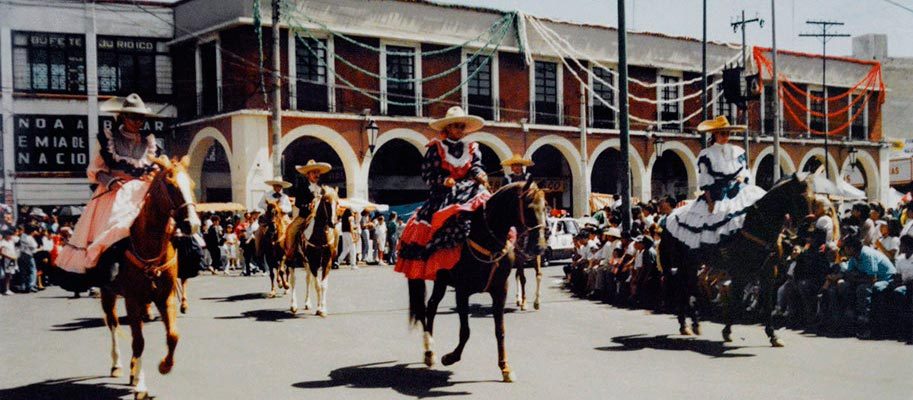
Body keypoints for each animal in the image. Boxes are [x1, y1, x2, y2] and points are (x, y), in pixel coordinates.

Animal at [100, 156, 200, 400]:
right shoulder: (132, 300)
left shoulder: (165, 296)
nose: (192, 224)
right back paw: (118, 365)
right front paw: (141, 386)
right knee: (113, 324)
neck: (150, 243)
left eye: (192, 185)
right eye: (171, 186)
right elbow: (138, 342)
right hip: (108, 293)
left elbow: (173, 335)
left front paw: (165, 365)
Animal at [288, 187, 338, 316]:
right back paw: (293, 306)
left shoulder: (326, 261)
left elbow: (323, 285)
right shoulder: (313, 262)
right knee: (293, 280)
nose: (332, 223)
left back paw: (307, 303)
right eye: (326, 202)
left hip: (306, 262)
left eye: (337, 202)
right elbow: (317, 285)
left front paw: (322, 309)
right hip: (292, 259)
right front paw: (319, 308)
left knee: (307, 278)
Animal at [404, 181, 540, 382]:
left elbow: (500, 331)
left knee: (432, 306)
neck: (487, 240)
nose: (539, 246)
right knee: (423, 309)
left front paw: (505, 368)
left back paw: (430, 351)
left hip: (441, 281)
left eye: (545, 207)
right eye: (529, 208)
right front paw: (450, 357)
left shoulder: (500, 290)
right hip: (419, 277)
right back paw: (429, 351)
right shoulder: (462, 291)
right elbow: (465, 331)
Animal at [660, 172, 816, 346]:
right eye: (800, 197)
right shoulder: (740, 272)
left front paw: (773, 335)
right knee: (684, 287)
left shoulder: (768, 272)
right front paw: (727, 331)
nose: (809, 230)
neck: (757, 224)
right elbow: (736, 301)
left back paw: (689, 323)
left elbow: (767, 303)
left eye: (813, 198)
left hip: (691, 263)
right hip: (684, 262)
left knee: (686, 286)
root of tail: (669, 216)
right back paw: (690, 322)